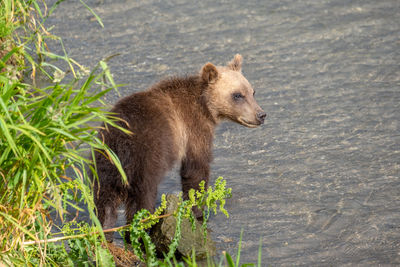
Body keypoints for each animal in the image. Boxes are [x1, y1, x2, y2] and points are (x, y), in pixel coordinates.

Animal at [93, 55, 266, 243]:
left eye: (252, 92)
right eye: (237, 95)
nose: (261, 115)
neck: (205, 106)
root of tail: (120, 144)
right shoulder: (193, 129)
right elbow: (196, 169)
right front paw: (197, 210)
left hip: (103, 166)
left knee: (104, 204)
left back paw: (105, 232)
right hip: (144, 162)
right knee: (142, 201)